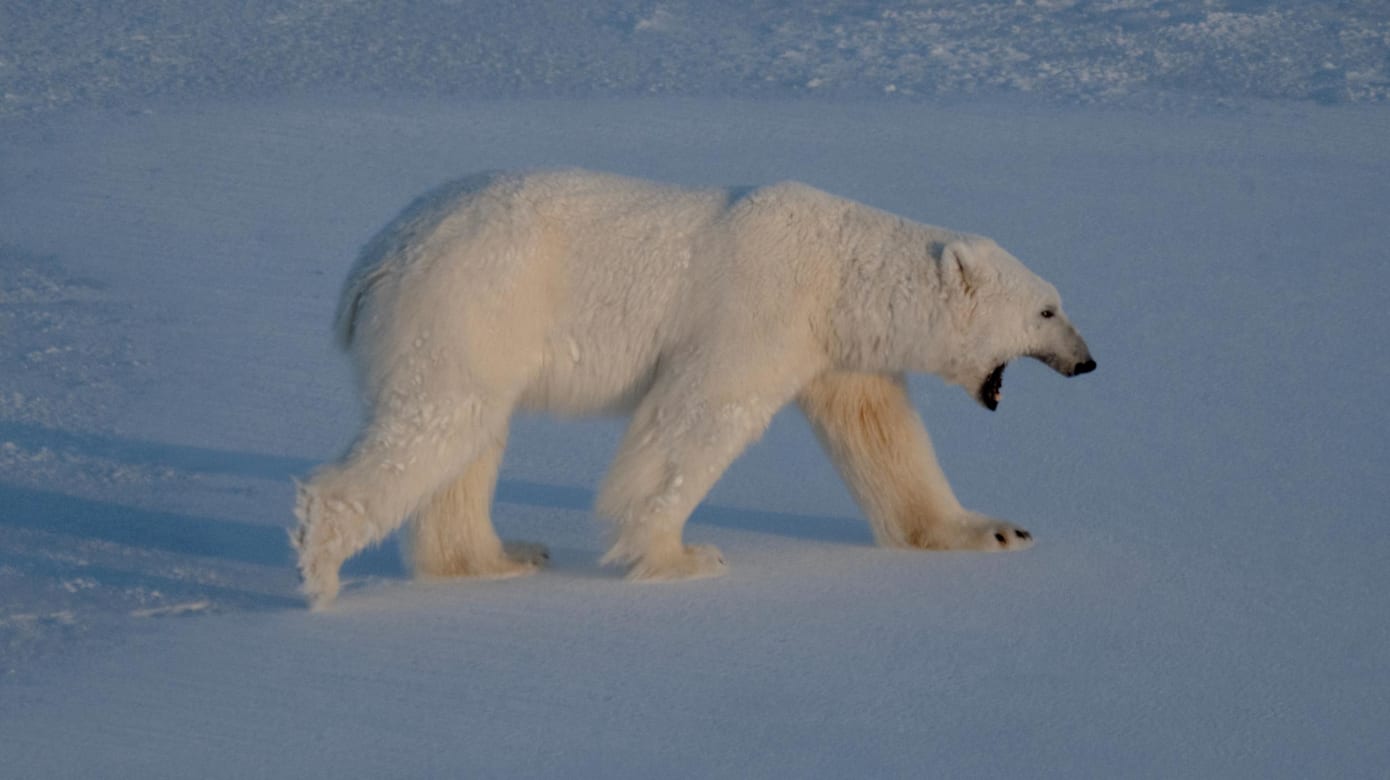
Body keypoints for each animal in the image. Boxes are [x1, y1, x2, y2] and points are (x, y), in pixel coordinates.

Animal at [292, 169, 1095, 608]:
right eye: (1047, 311)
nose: (1088, 362)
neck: (839, 271)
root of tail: (373, 260)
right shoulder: (760, 308)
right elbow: (698, 415)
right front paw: (681, 556)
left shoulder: (837, 348)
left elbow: (881, 434)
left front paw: (995, 531)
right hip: (470, 303)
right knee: (437, 422)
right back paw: (321, 566)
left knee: (469, 439)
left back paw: (498, 557)